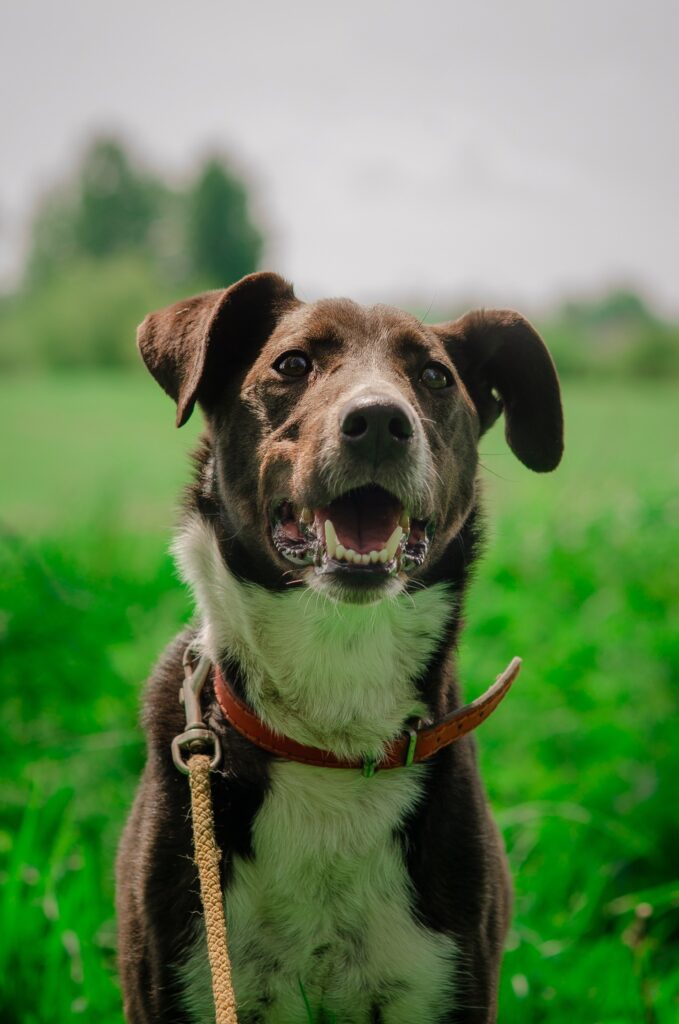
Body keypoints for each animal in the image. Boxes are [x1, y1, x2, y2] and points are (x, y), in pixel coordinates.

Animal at [115, 272, 561, 1024]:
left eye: (434, 377)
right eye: (292, 363)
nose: (379, 421)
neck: (330, 732)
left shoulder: (446, 981)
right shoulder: (180, 978)